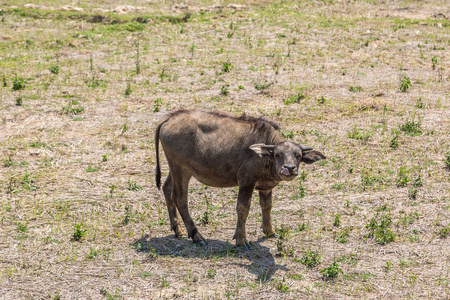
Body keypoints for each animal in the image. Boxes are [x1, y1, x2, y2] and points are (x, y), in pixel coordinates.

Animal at [156, 109, 326, 251]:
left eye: (298, 155)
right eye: (278, 154)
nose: (289, 168)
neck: (263, 155)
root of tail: (171, 118)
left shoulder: (266, 188)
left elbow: (267, 207)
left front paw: (270, 232)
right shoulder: (246, 181)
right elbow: (243, 209)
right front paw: (241, 241)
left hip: (174, 168)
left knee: (167, 189)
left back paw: (178, 230)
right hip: (181, 169)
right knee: (180, 198)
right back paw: (197, 236)